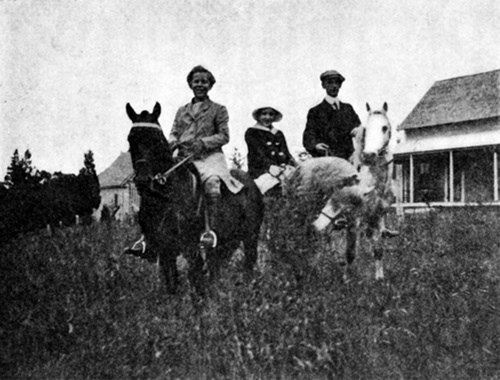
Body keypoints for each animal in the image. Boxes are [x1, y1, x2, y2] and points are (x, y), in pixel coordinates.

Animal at [127, 101, 264, 294]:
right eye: (131, 139)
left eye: (157, 140)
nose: (142, 180)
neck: (167, 196)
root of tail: (252, 182)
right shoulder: (164, 249)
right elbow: (171, 287)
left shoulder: (191, 249)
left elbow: (196, 283)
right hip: (225, 243)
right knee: (216, 270)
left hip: (250, 237)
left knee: (248, 268)